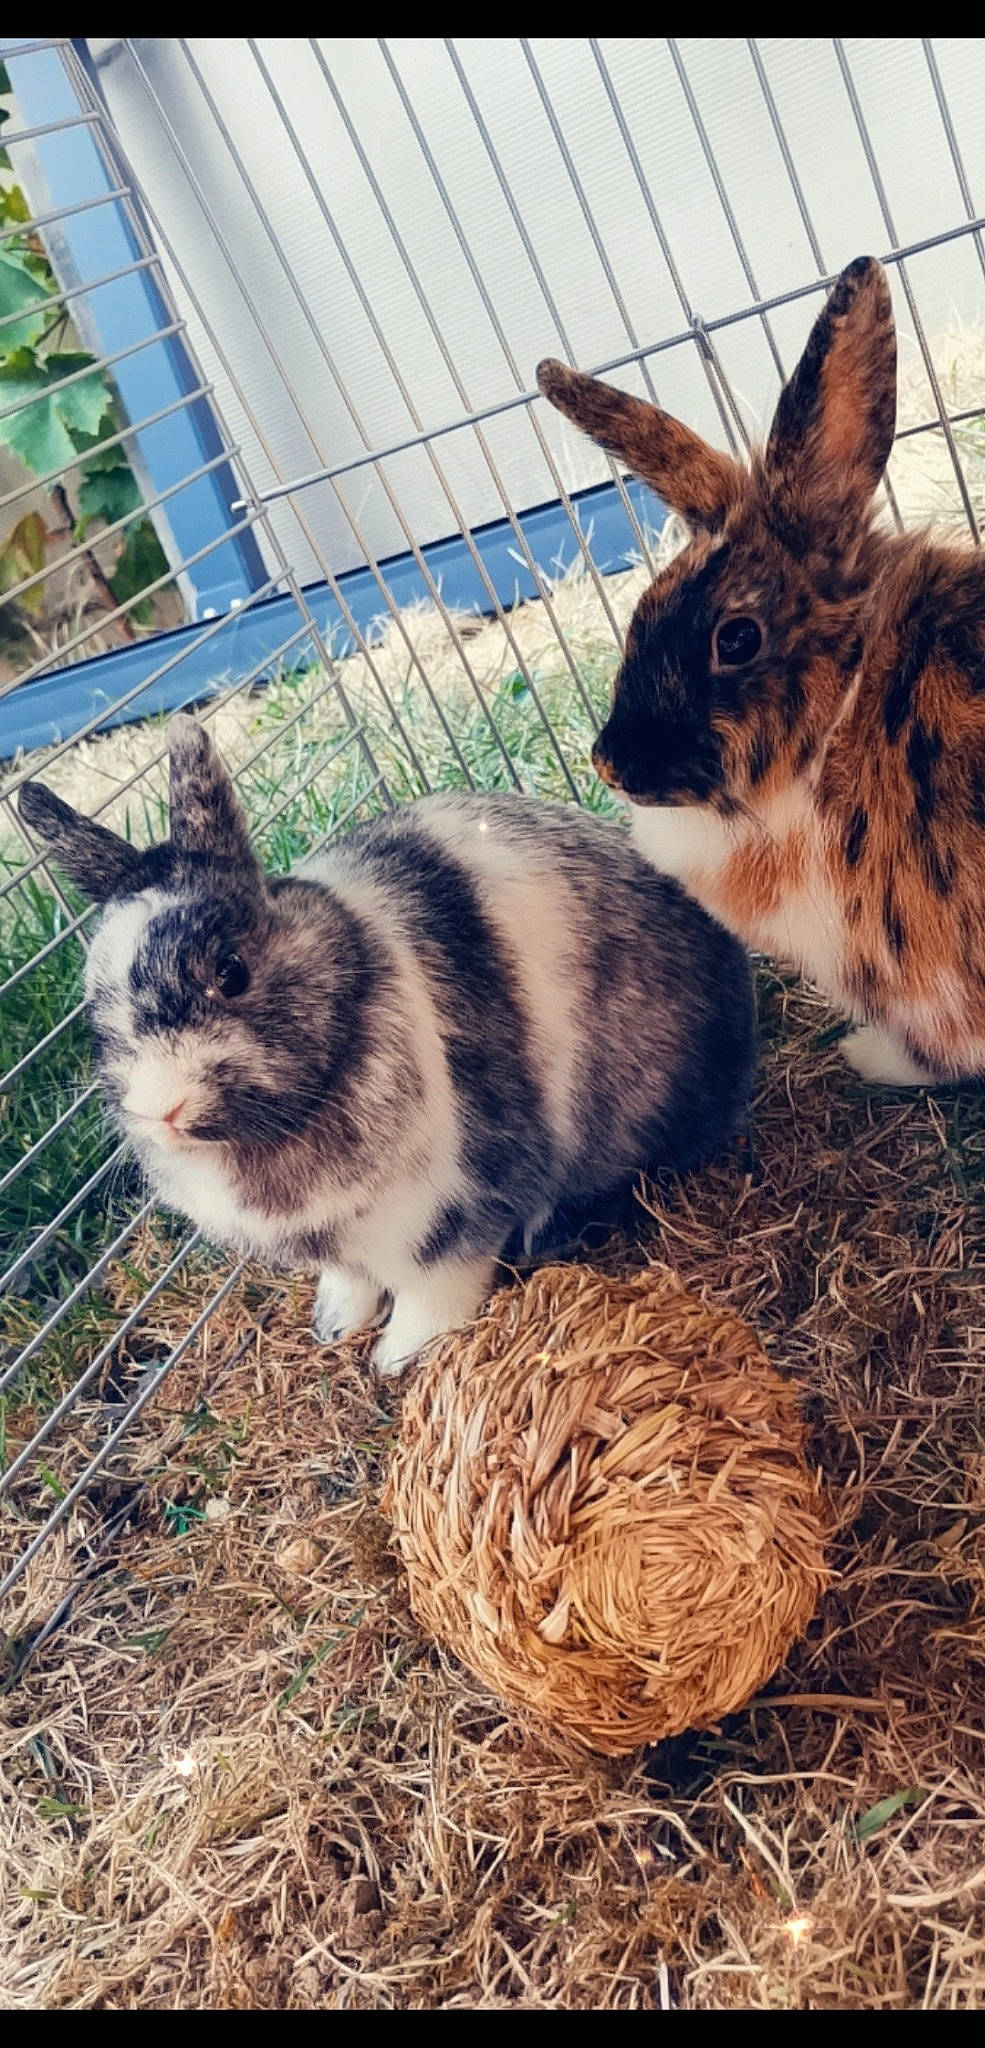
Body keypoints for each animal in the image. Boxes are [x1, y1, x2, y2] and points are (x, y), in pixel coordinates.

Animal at [18, 714, 756, 1375]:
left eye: (230, 972)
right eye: (94, 1009)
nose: (160, 1109)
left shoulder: (454, 1215)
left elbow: (437, 1287)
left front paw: (399, 1358)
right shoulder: (343, 1247)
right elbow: (350, 1281)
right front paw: (334, 1327)